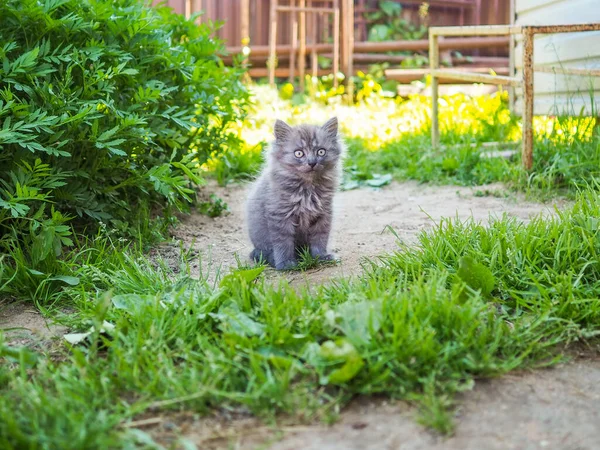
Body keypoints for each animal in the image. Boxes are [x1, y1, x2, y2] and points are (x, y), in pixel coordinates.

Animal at [247, 118, 342, 268]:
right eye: (299, 153)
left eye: (321, 152)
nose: (312, 162)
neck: (308, 189)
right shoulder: (280, 216)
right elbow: (283, 243)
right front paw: (286, 264)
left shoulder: (323, 214)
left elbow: (320, 238)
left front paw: (321, 257)